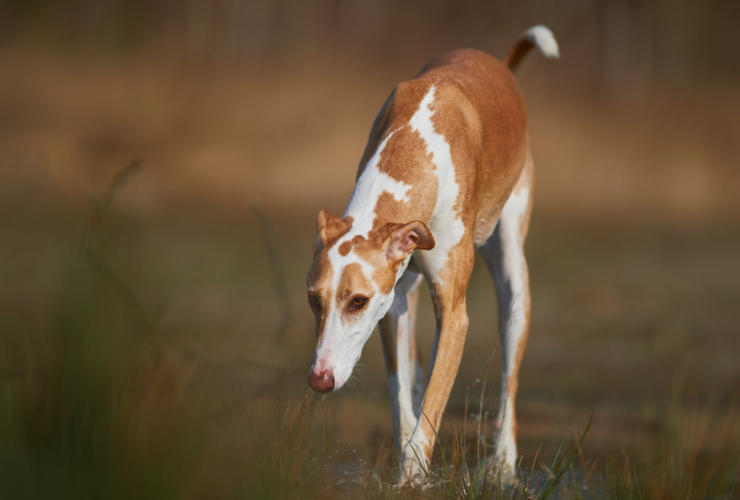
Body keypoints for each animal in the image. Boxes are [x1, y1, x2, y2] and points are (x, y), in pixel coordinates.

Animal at [304, 25, 556, 482]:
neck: (416, 142)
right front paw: (406, 469)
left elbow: (431, 410)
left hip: (512, 280)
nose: (320, 380)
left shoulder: (454, 316)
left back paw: (502, 462)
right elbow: (403, 405)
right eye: (314, 299)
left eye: (357, 301)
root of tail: (500, 64)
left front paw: (413, 477)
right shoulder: (393, 305)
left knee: (508, 374)